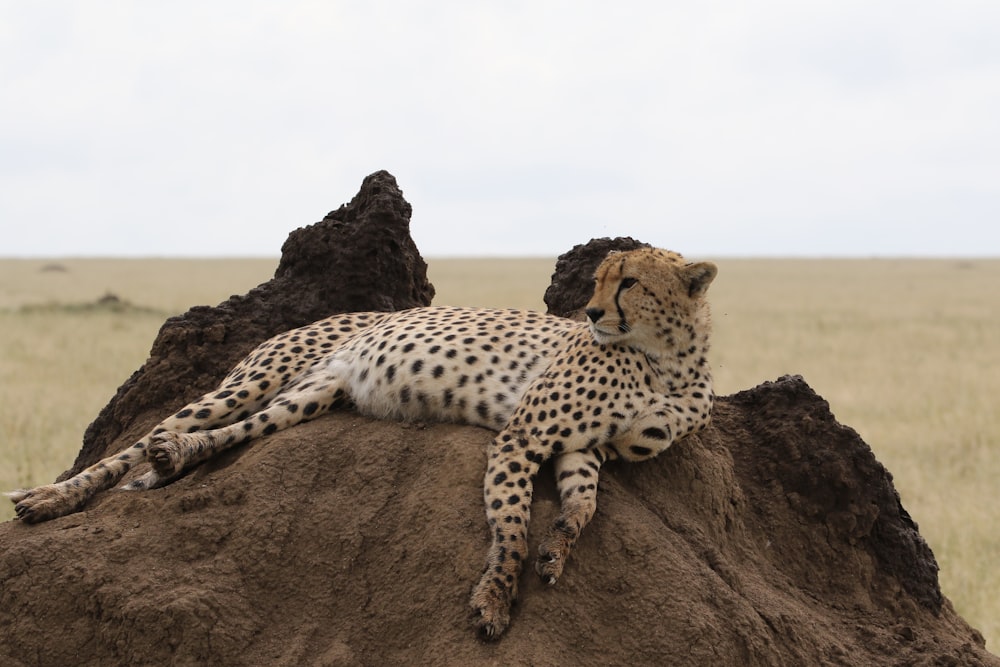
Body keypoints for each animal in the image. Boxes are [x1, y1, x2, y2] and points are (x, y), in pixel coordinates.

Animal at [3, 247, 716, 640]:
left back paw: (172, 463)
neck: (669, 361)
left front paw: (557, 551)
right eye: (599, 281)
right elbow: (510, 524)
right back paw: (47, 499)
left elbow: (583, 505)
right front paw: (494, 599)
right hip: (256, 378)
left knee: (216, 437)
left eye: (628, 282)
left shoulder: (583, 449)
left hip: (311, 397)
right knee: (149, 435)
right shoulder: (524, 432)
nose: (590, 314)